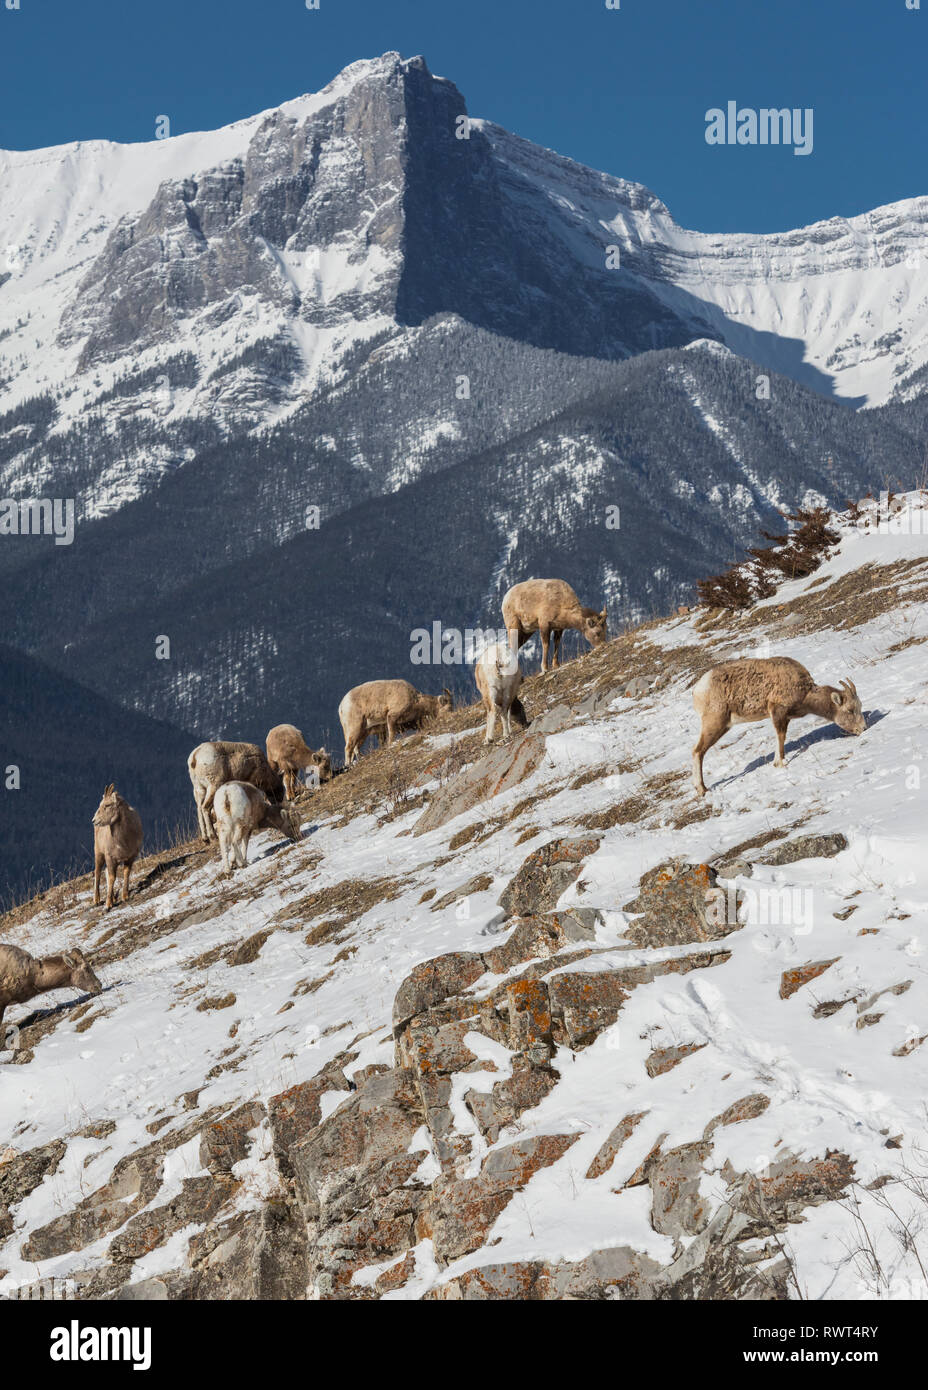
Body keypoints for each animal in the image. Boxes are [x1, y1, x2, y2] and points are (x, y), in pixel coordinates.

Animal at [691, 656, 866, 796]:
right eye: (850, 710)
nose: (863, 728)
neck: (805, 693)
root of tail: (698, 691)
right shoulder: (777, 712)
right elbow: (780, 736)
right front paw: (780, 763)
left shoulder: (784, 717)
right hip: (715, 724)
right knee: (698, 751)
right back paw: (702, 790)